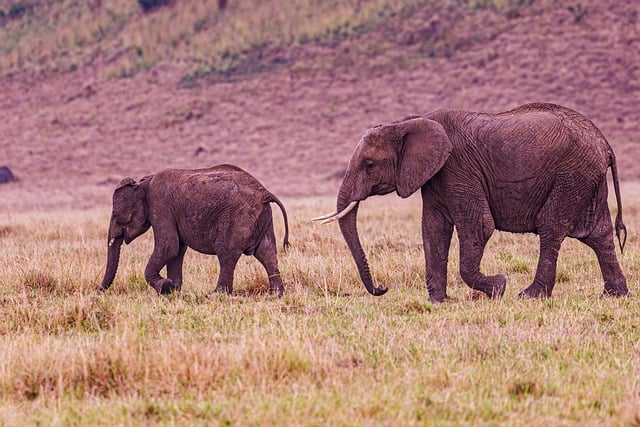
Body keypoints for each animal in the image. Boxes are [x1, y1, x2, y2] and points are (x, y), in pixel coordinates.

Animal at [100, 164, 290, 298]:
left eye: (116, 214)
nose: (99, 292)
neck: (143, 183)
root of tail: (264, 192)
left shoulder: (159, 206)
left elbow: (169, 247)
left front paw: (165, 287)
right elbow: (176, 250)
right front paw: (173, 290)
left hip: (238, 217)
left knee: (226, 254)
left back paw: (215, 296)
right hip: (263, 217)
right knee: (267, 253)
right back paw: (276, 295)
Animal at [318, 103, 628, 302]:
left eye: (369, 164)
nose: (382, 288)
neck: (410, 121)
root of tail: (605, 144)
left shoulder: (458, 168)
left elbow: (478, 226)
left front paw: (499, 286)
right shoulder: (436, 176)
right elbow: (433, 229)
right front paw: (439, 302)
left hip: (571, 176)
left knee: (551, 227)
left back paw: (530, 296)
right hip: (586, 177)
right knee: (598, 234)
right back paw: (615, 295)